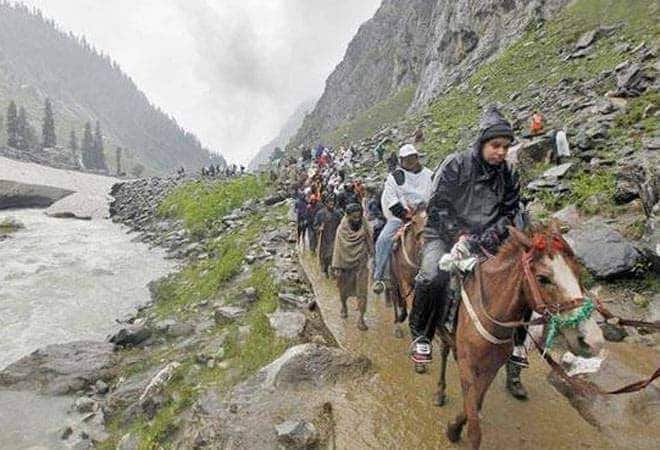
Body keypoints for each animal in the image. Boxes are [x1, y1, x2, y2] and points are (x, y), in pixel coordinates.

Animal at [386, 204, 428, 338]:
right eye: (413, 221)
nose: (424, 243)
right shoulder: (404, 281)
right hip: (393, 278)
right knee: (395, 297)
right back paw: (397, 325)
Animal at [436, 225, 604, 450]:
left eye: (578, 274)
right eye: (543, 278)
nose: (593, 340)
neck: (490, 312)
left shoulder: (490, 368)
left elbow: (474, 406)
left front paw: (454, 427)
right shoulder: (467, 364)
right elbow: (474, 429)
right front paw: (455, 430)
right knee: (443, 351)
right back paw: (439, 391)